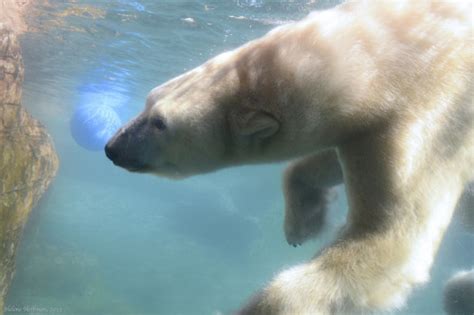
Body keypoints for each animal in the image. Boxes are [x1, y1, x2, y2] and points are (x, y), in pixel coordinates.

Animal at [104, 1, 474, 314]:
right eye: (148, 101)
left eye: (160, 123)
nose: (112, 147)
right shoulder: (367, 127)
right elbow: (327, 162)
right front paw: (304, 222)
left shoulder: (437, 114)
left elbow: (393, 239)